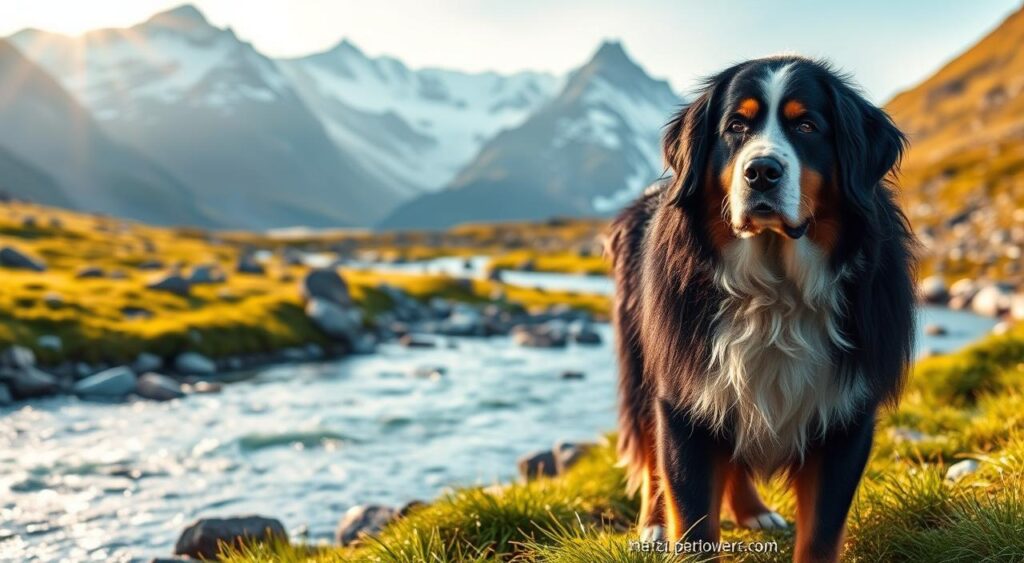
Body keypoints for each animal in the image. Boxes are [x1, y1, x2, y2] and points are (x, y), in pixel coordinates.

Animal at [606, 57, 921, 563]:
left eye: (807, 125)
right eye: (736, 126)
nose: (761, 172)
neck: (776, 292)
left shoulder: (844, 414)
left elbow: (820, 534)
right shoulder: (686, 396)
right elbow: (692, 520)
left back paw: (753, 511)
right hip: (644, 362)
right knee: (651, 447)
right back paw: (653, 524)